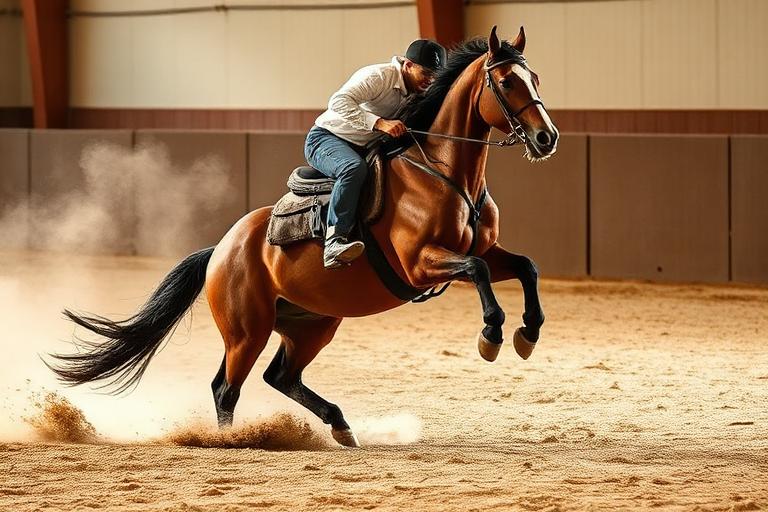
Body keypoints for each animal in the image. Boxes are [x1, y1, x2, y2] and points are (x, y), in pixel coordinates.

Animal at [48, 26, 559, 447]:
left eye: (535, 76)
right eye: (507, 82)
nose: (547, 137)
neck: (442, 172)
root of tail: (222, 249)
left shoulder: (485, 250)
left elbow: (526, 267)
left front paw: (527, 333)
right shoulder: (421, 263)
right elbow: (478, 271)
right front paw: (491, 335)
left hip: (312, 323)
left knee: (281, 377)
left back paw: (340, 425)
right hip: (246, 331)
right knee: (227, 387)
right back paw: (235, 441)